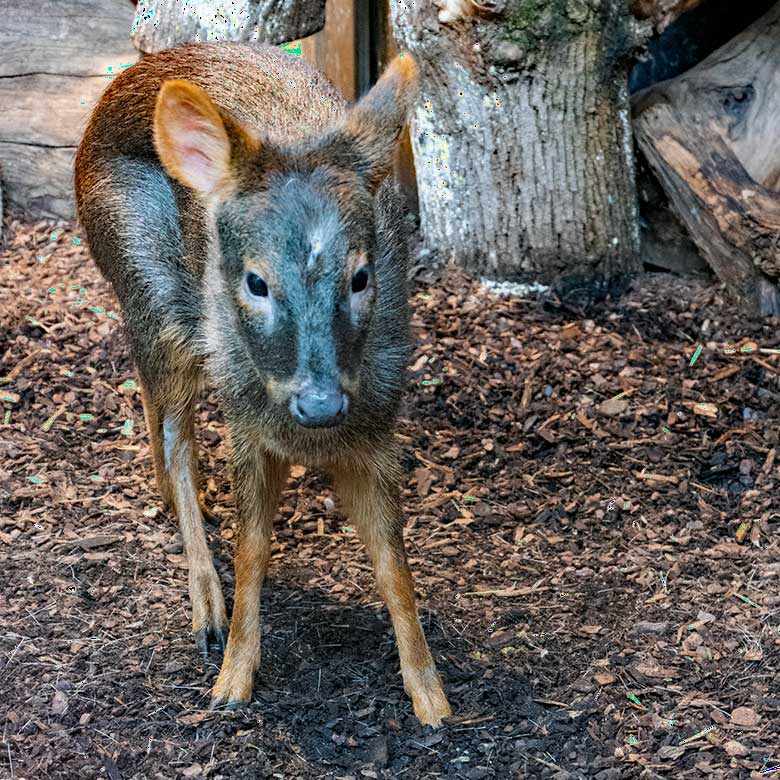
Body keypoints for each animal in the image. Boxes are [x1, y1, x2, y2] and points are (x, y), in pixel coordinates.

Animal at [74, 41, 450, 724]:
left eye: (362, 275)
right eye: (256, 280)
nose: (321, 403)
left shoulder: (378, 430)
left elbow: (393, 563)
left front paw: (431, 696)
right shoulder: (249, 429)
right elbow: (252, 551)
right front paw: (231, 681)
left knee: (151, 400)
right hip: (151, 291)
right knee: (176, 432)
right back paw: (205, 608)